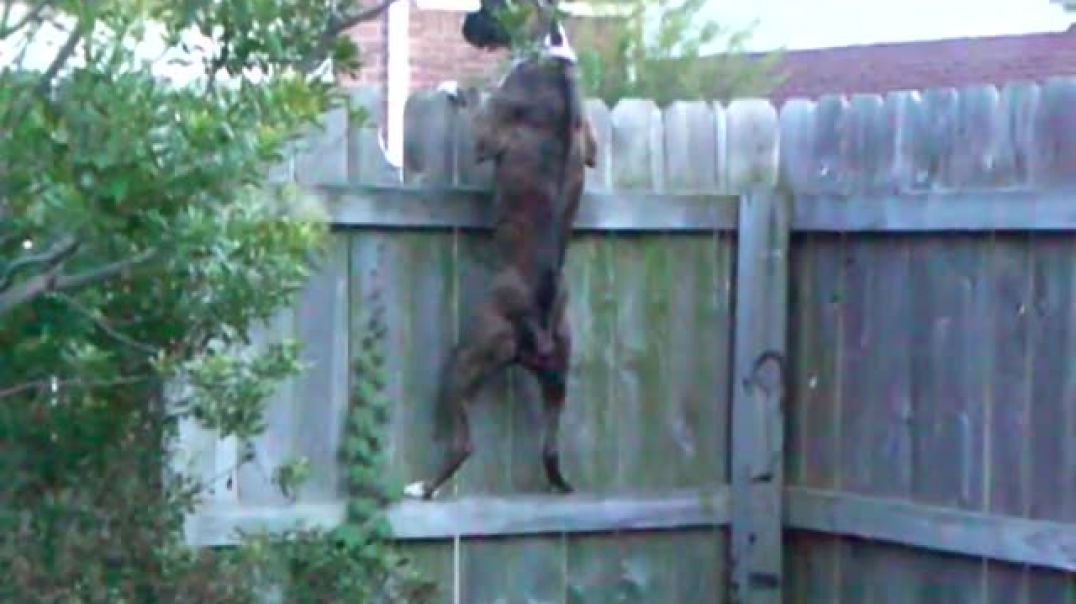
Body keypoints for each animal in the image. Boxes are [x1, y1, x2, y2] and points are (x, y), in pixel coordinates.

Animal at [404, 0, 602, 499]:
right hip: (559, 377)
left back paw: (423, 488)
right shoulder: (591, 143)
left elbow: (477, 101)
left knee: (465, 444)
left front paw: (453, 86)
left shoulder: (487, 135)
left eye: (486, 6)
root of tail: (540, 323)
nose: (464, 23)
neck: (550, 53)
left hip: (466, 359)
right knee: (550, 449)